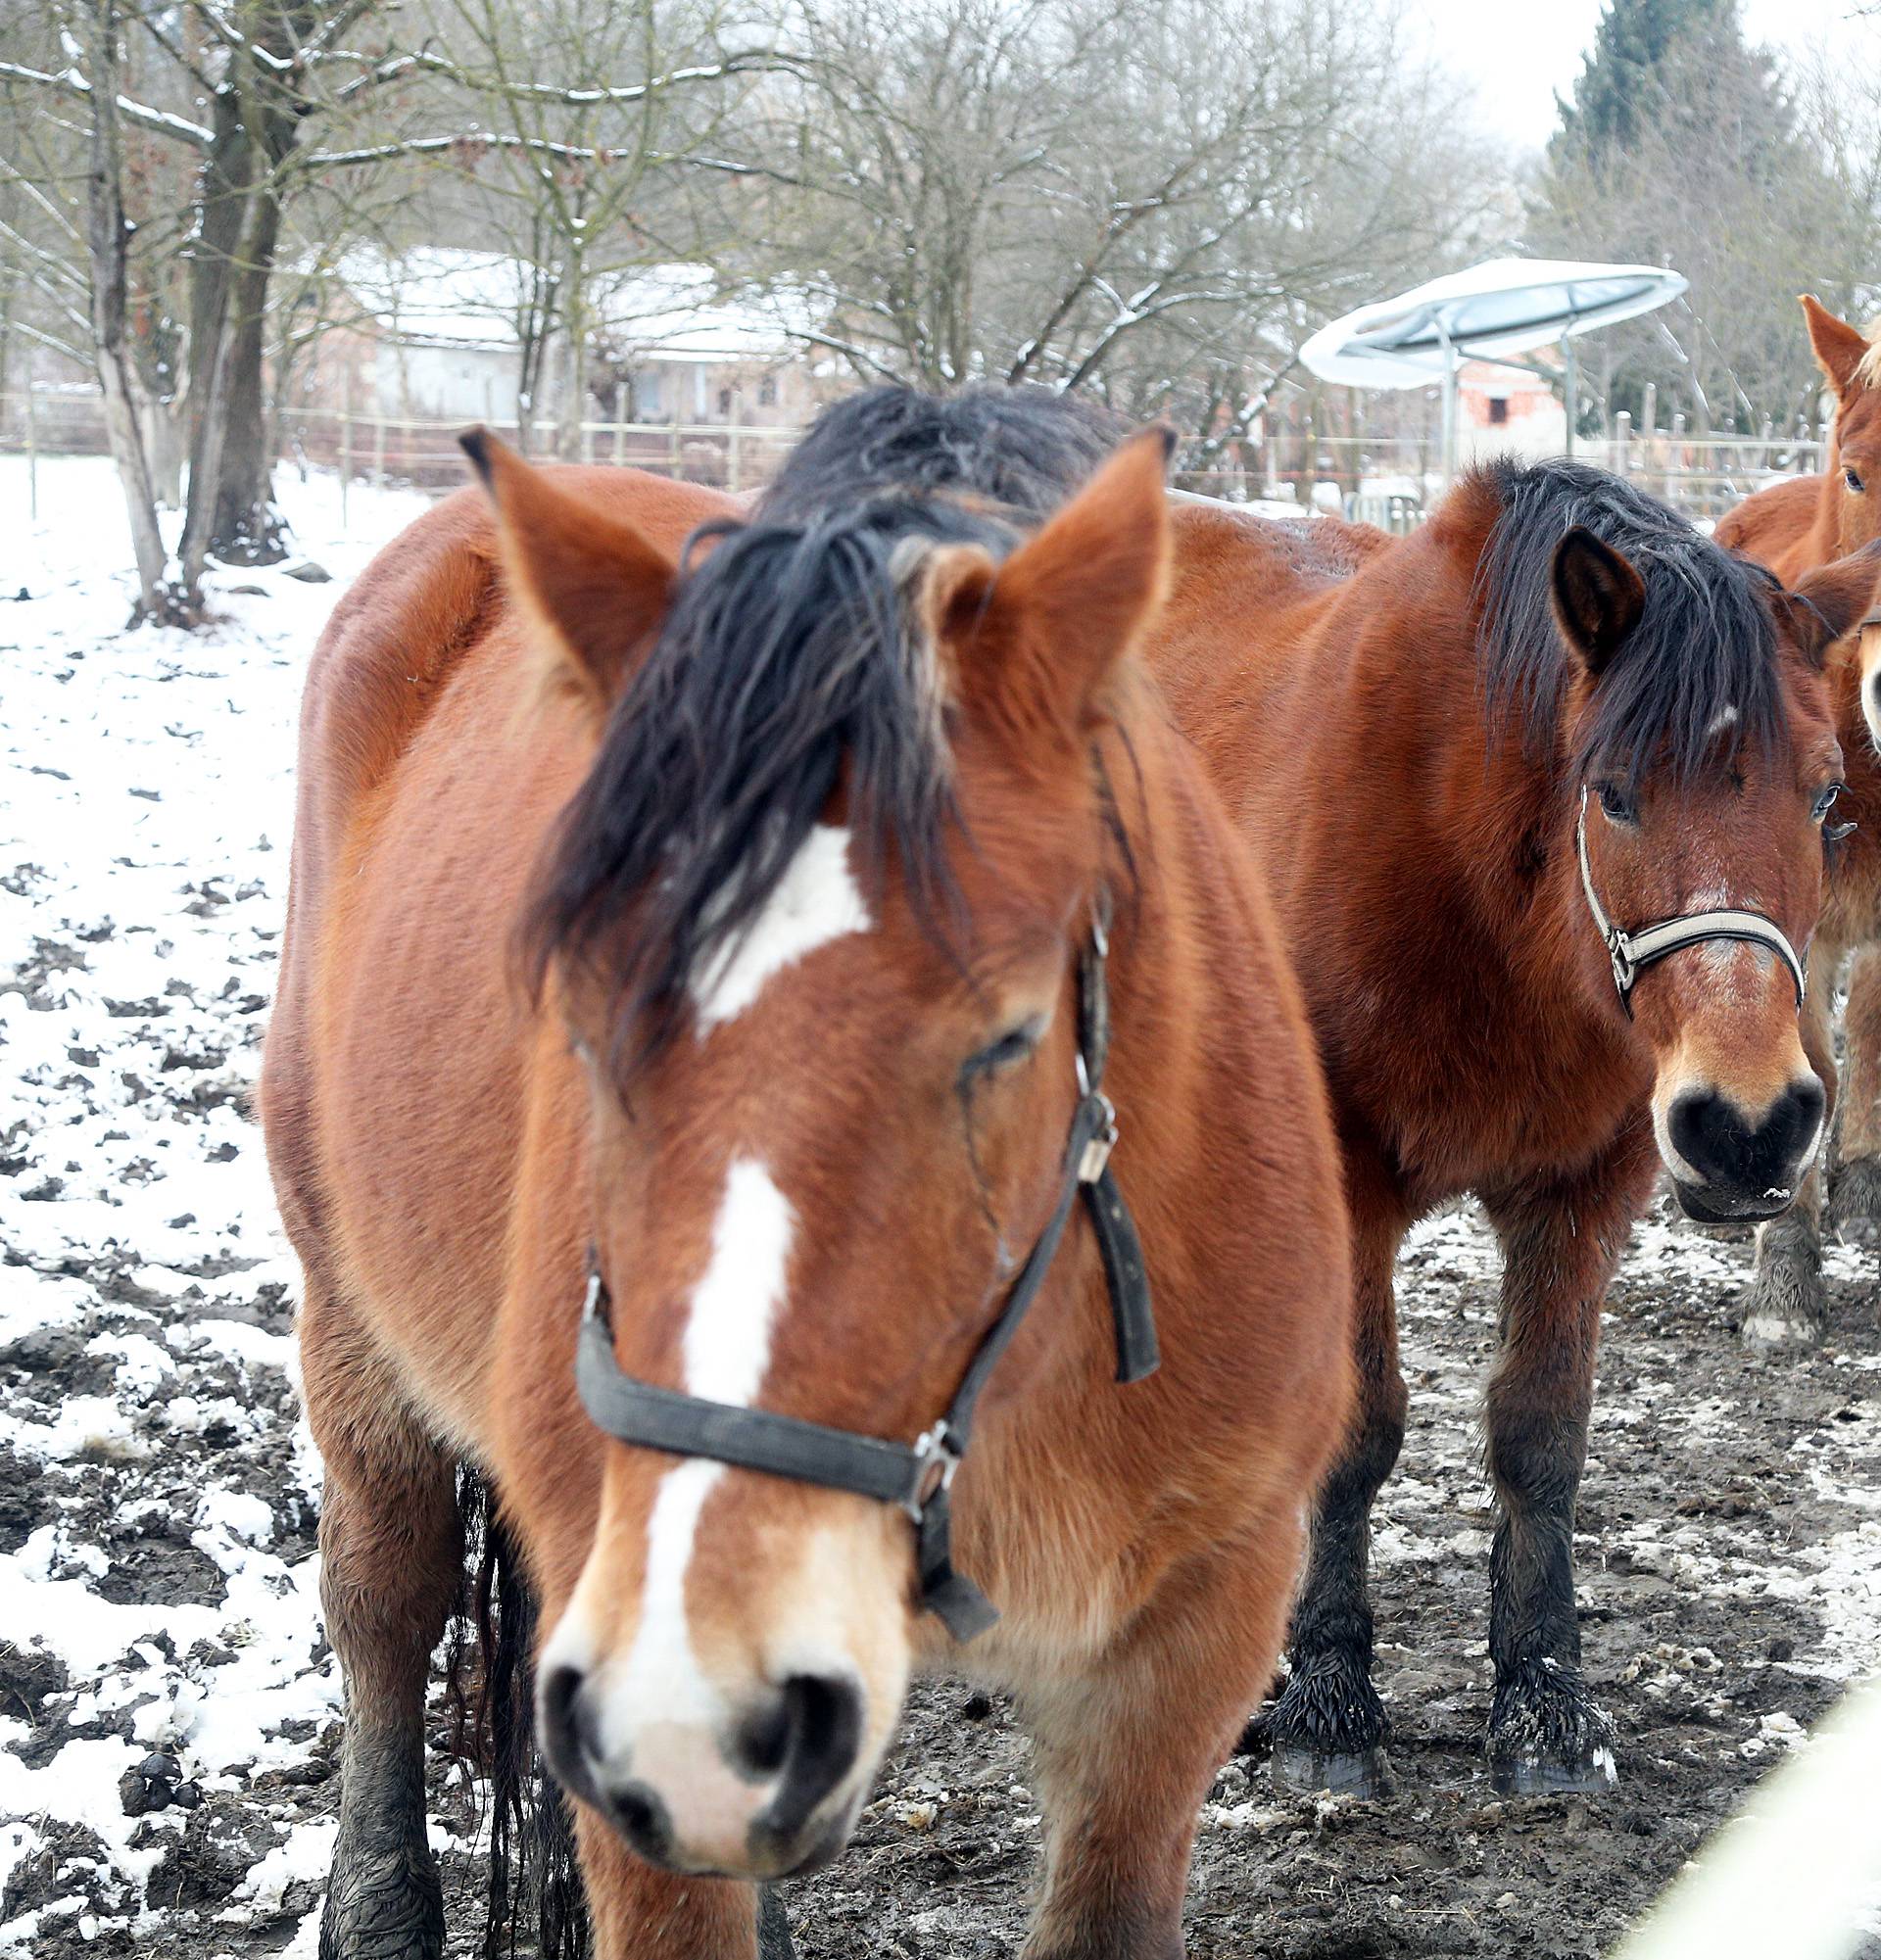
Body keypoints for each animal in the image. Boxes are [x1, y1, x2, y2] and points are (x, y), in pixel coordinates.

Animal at [265, 386, 1348, 1959]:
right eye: (580, 1016)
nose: (691, 1708)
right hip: (351, 1324)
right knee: (383, 1596)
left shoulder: (1185, 1658)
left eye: (1012, 1033)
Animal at [1144, 454, 1865, 1794]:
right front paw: (1328, 1703)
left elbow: (1542, 1434)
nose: (1748, 1127)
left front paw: (1543, 1704)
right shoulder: (1350, 1180)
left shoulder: (1585, 1188)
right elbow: (1359, 1430)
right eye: (1613, 794)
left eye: (1827, 792)